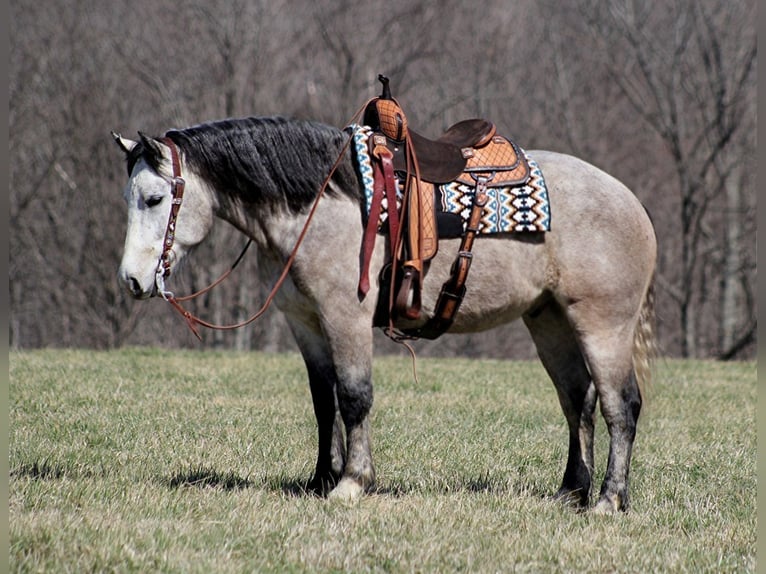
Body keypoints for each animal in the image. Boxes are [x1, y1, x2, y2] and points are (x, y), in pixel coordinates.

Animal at [114, 115, 660, 516]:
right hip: (549, 321)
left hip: (603, 325)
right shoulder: (306, 323)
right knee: (577, 402)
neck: (321, 203)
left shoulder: (346, 317)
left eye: (155, 198)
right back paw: (572, 492)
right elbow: (324, 401)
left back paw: (609, 501)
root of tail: (632, 202)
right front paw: (320, 479)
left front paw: (352, 483)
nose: (133, 280)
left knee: (620, 405)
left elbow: (355, 396)